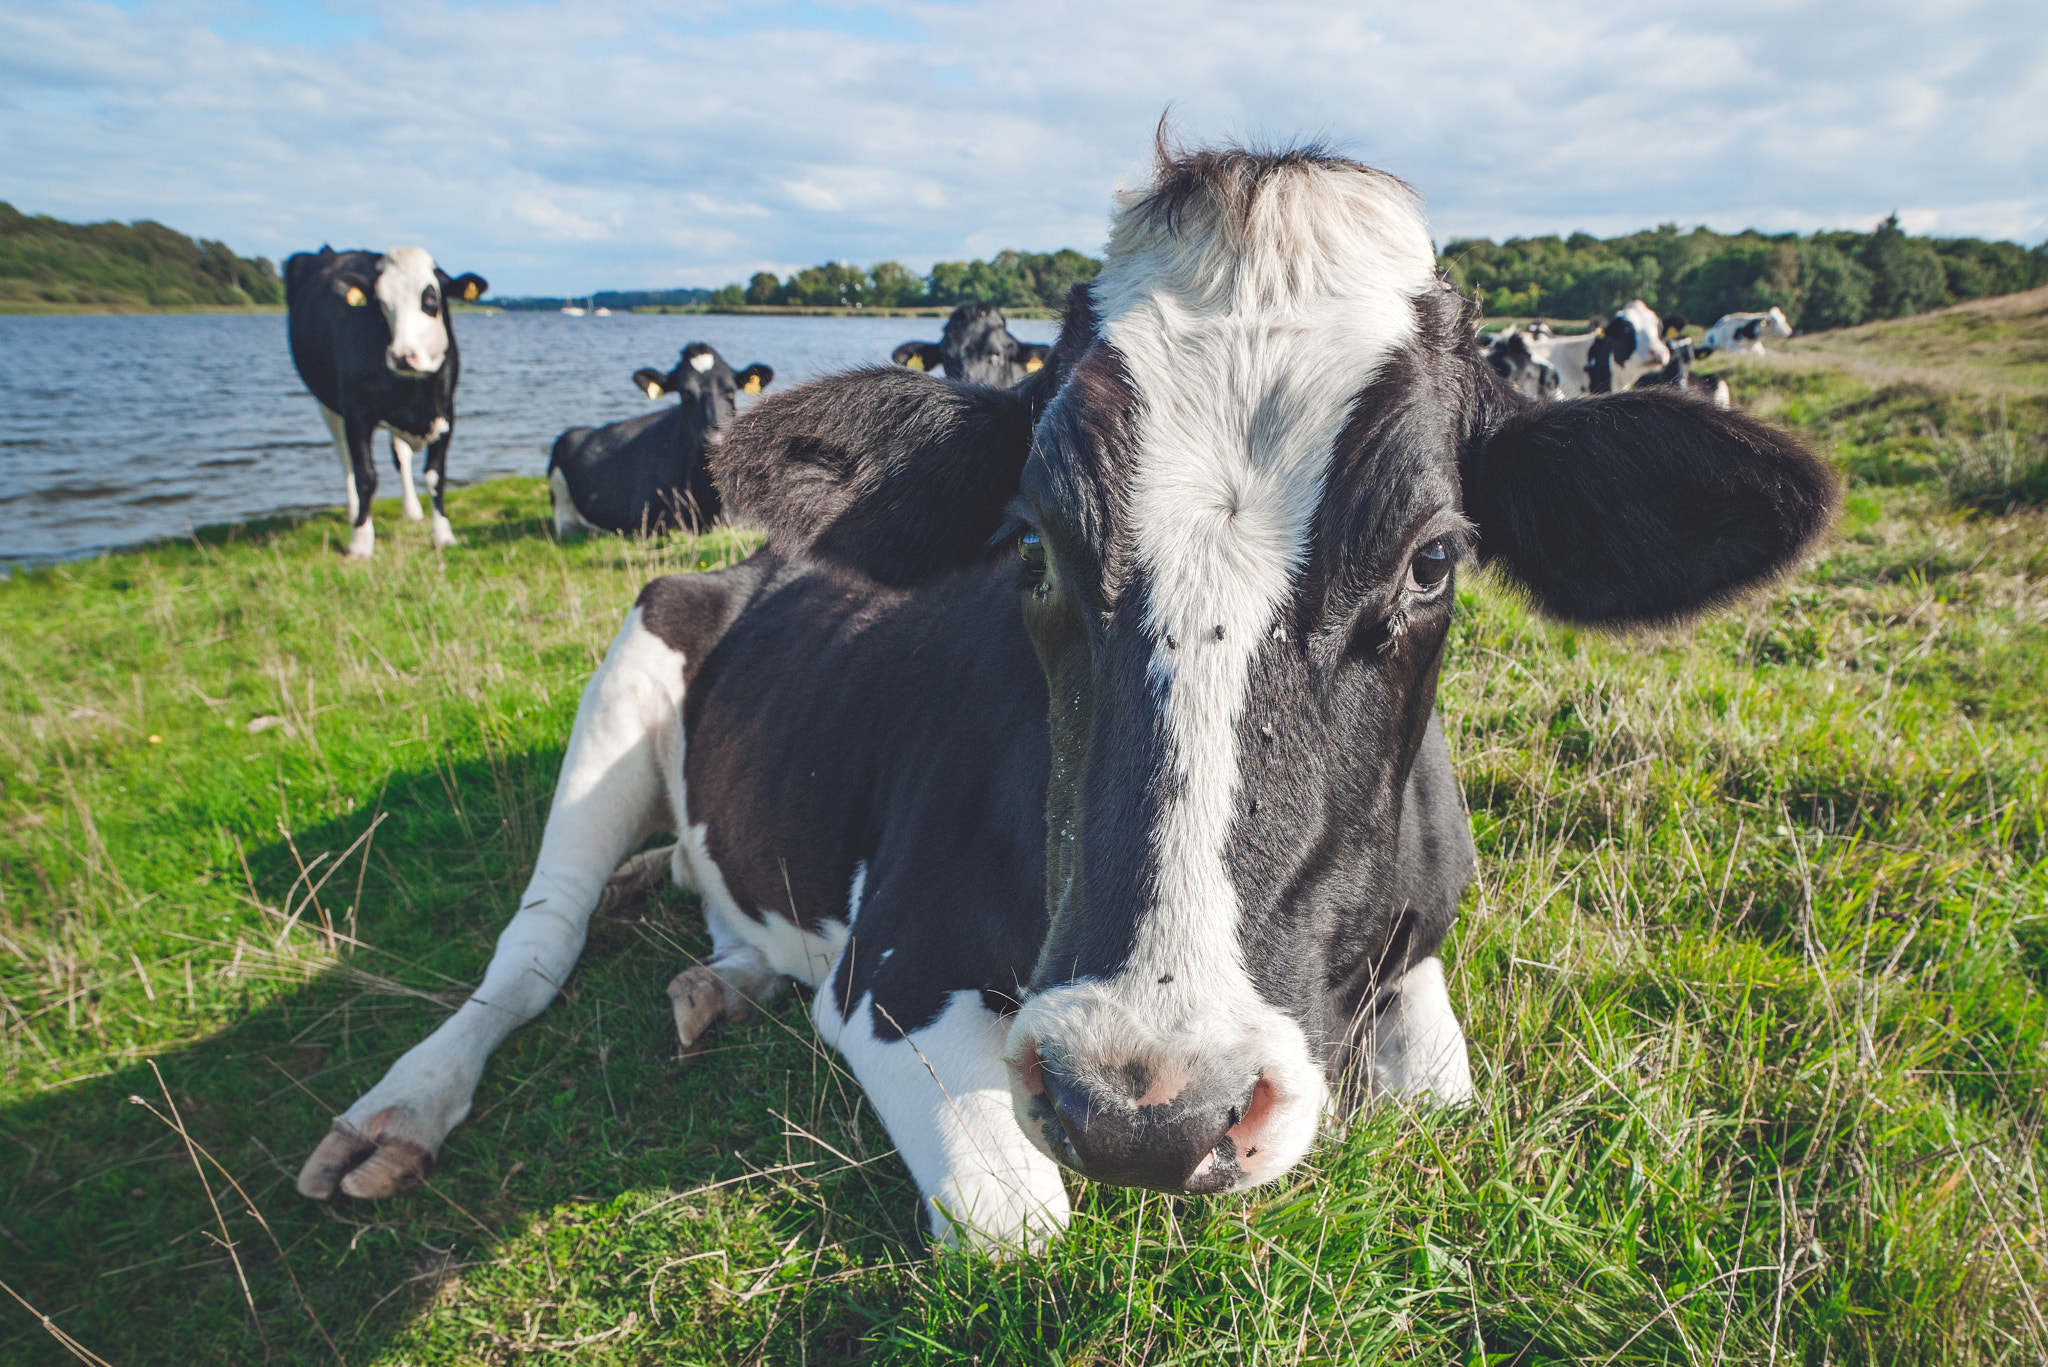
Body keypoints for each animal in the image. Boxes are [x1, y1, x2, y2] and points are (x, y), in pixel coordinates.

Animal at [286, 245, 489, 557]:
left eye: (430, 298)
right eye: (381, 303)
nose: (402, 355)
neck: (417, 394)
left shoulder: (446, 414)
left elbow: (435, 477)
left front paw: (443, 535)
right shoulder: (356, 413)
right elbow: (366, 476)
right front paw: (360, 542)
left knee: (401, 455)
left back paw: (412, 510)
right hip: (327, 403)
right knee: (344, 455)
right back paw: (353, 511)